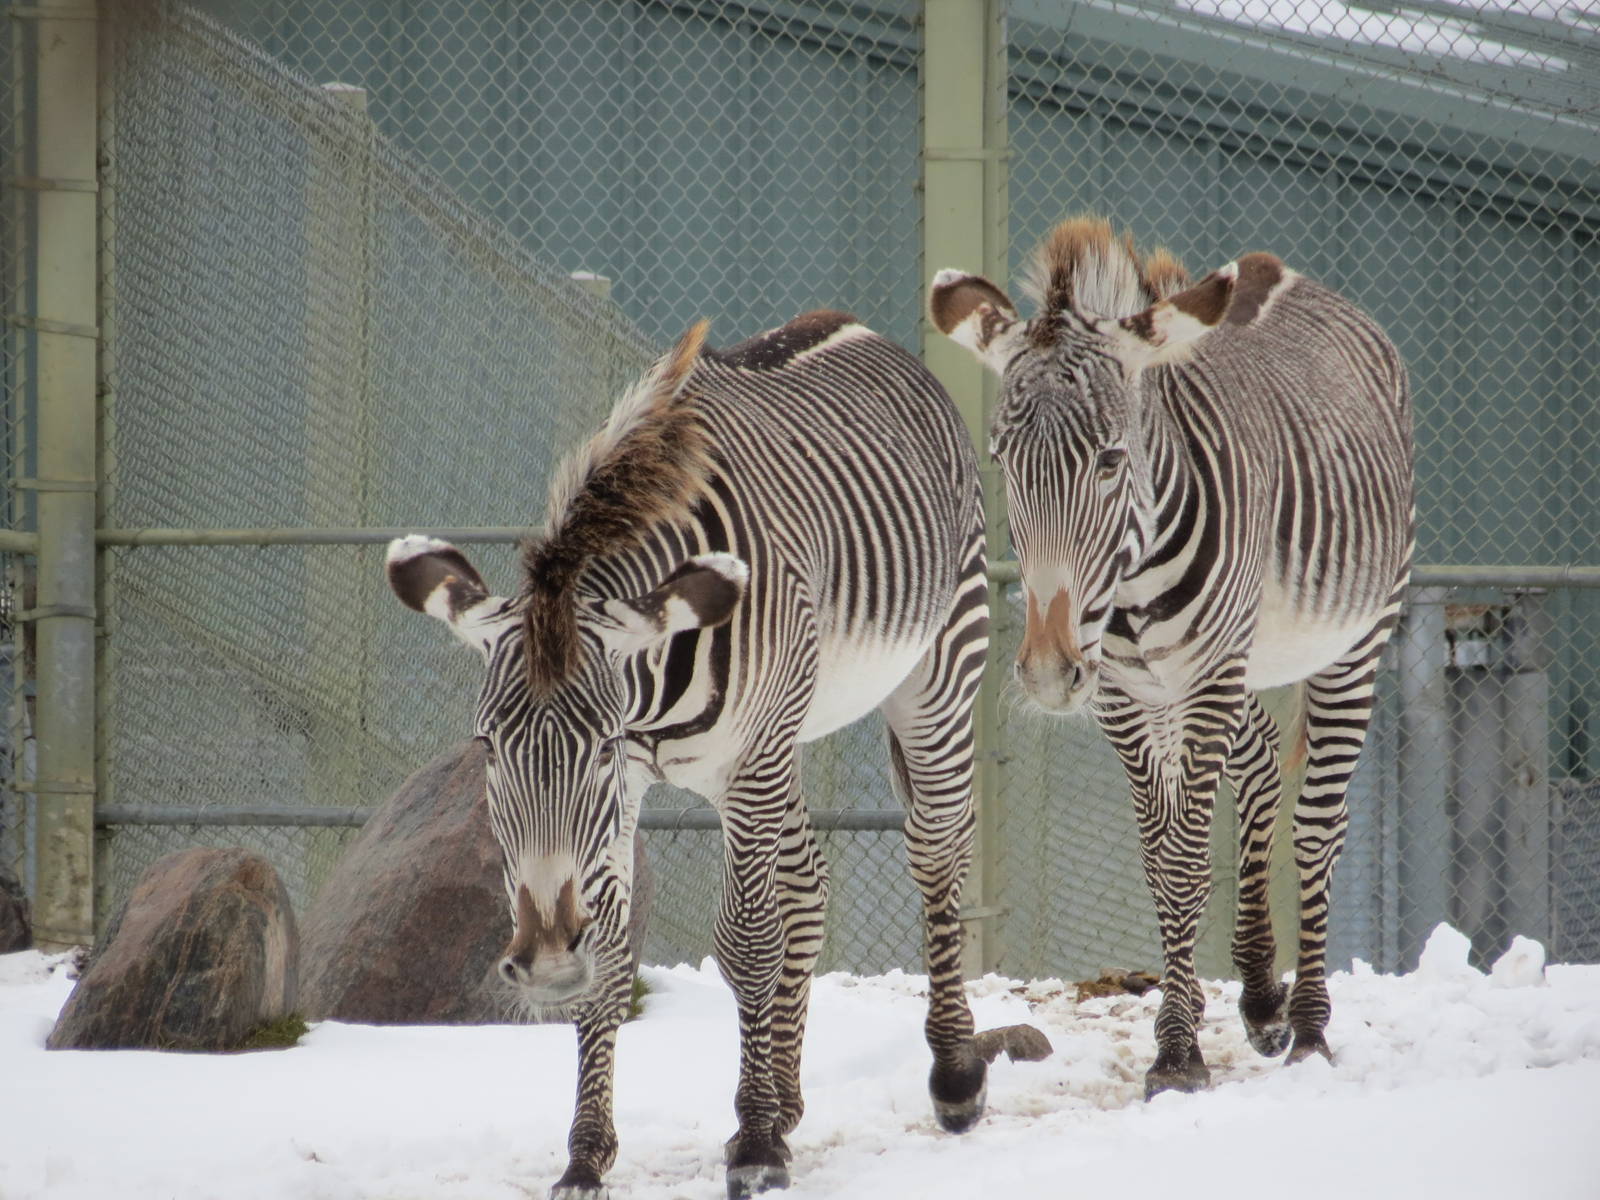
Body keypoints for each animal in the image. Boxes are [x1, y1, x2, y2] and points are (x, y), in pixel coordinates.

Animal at [387, 311, 1047, 1199]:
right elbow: (615, 943)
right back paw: (789, 1100)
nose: (548, 964)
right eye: (487, 745)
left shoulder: (735, 761)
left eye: (599, 743)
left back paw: (950, 1078)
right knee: (807, 886)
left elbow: (747, 942)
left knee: (935, 854)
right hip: (785, 738)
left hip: (935, 670)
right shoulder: (640, 791)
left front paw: (758, 1145)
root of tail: (852, 325)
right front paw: (588, 1155)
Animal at [931, 216, 1414, 1099]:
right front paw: (1186, 1026)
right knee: (1261, 763)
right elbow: (1161, 861)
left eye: (1111, 459)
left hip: (1355, 638)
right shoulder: (1128, 694)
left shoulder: (1209, 677)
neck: (1131, 584)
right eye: (1002, 461)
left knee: (1321, 820)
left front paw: (1180, 1055)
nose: (1047, 672)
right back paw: (1260, 996)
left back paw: (1309, 1027)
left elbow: (1188, 859)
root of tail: (1278, 271)